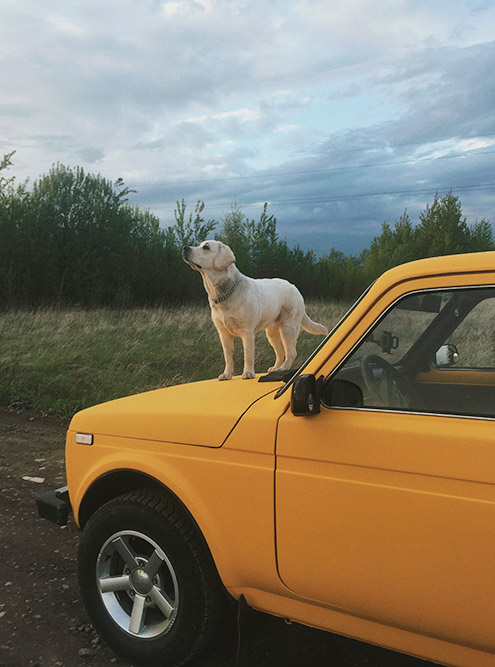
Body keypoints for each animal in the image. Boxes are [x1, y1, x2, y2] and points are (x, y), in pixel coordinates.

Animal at [182, 241, 330, 380]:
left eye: (206, 247)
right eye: (200, 244)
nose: (185, 248)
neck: (224, 293)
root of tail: (294, 287)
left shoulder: (247, 332)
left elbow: (248, 355)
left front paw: (248, 373)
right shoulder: (223, 333)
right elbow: (228, 356)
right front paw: (227, 375)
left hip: (288, 328)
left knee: (291, 352)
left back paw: (283, 368)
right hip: (271, 333)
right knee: (280, 352)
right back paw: (276, 368)